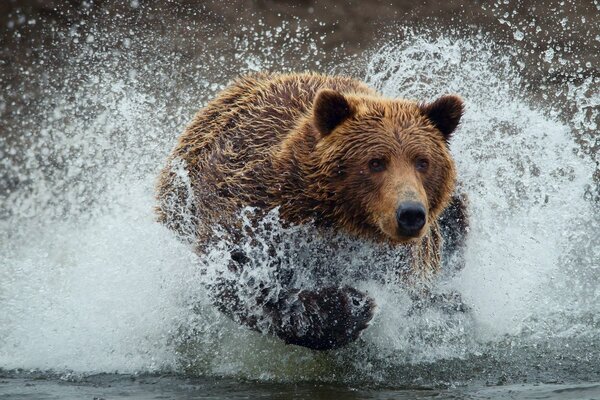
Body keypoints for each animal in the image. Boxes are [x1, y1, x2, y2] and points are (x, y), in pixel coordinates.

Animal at [157, 71, 466, 350]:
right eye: (376, 162)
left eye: (422, 161)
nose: (410, 213)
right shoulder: (253, 207)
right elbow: (239, 275)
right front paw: (350, 306)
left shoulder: (402, 258)